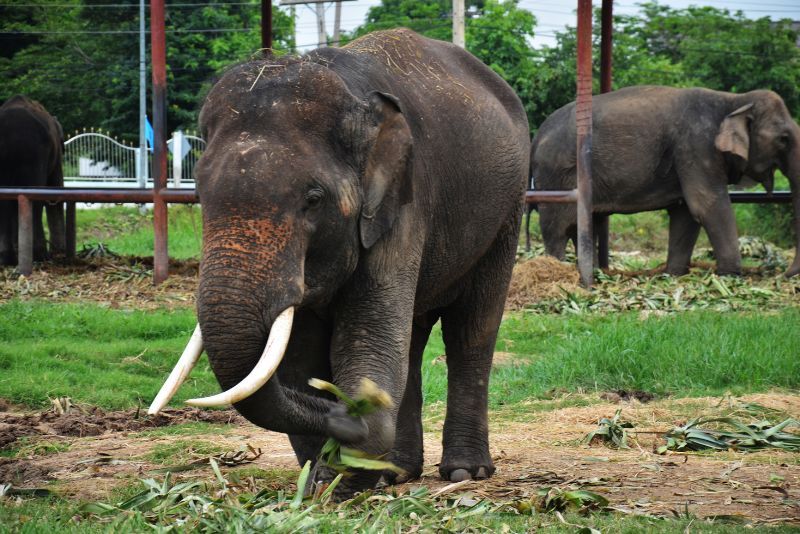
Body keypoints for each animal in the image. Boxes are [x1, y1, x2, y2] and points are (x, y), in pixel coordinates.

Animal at [0, 95, 66, 266]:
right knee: (36, 198)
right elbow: (55, 192)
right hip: (34, 155)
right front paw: (59, 253)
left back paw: (7, 258)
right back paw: (39, 256)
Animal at [148, 29, 532, 496]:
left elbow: (368, 337)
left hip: (507, 210)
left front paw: (339, 476)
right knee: (413, 339)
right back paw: (397, 472)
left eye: (313, 199)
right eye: (199, 194)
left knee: (471, 328)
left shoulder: (400, 205)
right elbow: (300, 353)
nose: (344, 410)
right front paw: (322, 481)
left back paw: (464, 472)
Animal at [532, 86, 800, 278]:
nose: (784, 274)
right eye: (783, 139)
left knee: (584, 225)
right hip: (557, 175)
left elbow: (686, 213)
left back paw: (596, 273)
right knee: (557, 228)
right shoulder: (695, 147)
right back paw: (556, 270)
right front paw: (732, 276)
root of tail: (537, 134)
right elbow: (707, 205)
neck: (734, 100)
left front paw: (673, 274)